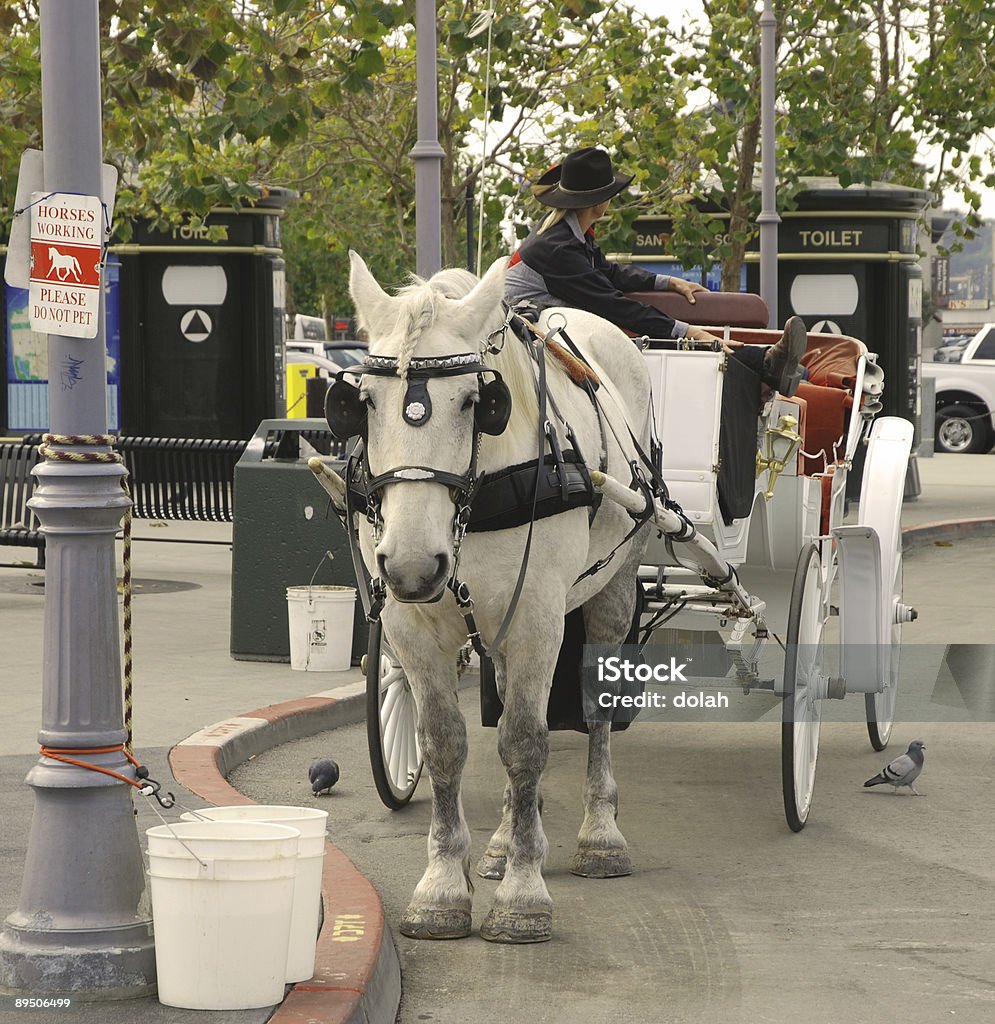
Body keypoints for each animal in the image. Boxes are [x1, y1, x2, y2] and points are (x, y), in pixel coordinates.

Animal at [345, 249, 655, 942]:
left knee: (593, 710)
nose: (411, 563)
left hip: (612, 586)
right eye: (364, 402)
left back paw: (600, 835)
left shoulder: (539, 619)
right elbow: (444, 744)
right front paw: (443, 884)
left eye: (474, 402)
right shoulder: (413, 628)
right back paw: (505, 836)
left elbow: (525, 743)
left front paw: (523, 891)